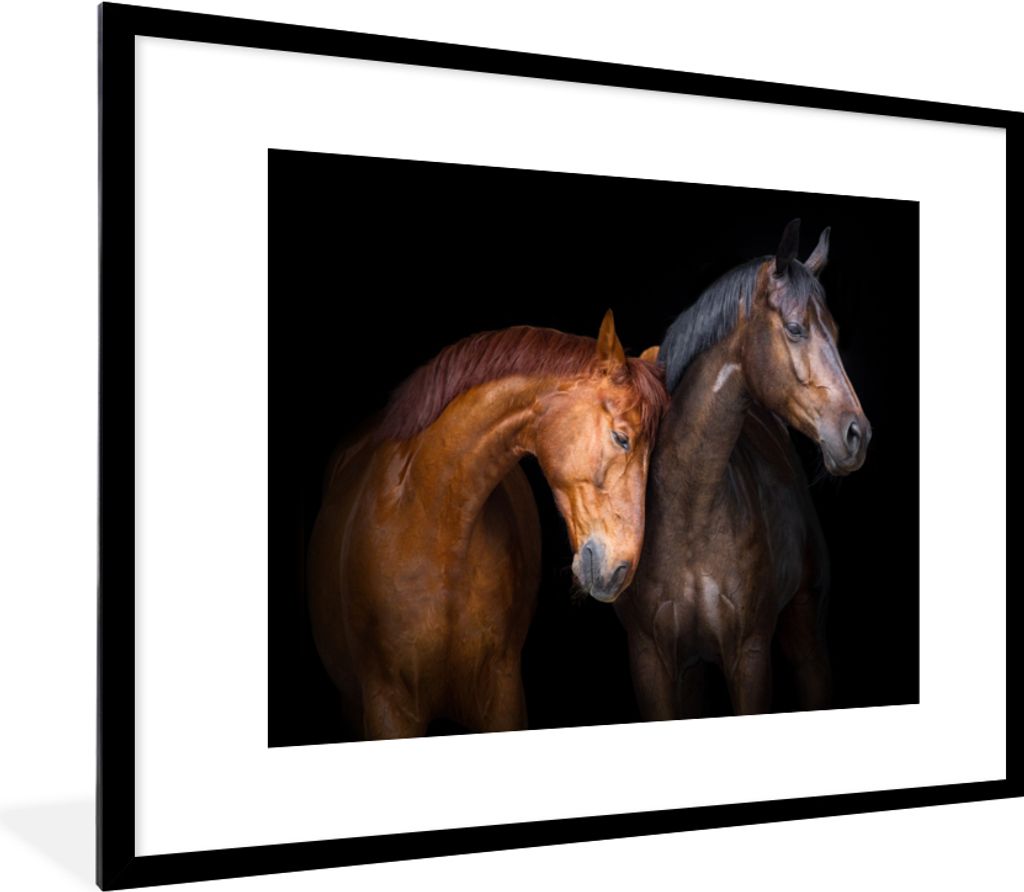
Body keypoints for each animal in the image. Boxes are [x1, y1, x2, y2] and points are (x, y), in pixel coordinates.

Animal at [616, 219, 871, 718]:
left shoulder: (750, 656)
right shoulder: (650, 661)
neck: (690, 509)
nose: (857, 434)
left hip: (807, 641)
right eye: (795, 328)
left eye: (834, 331)